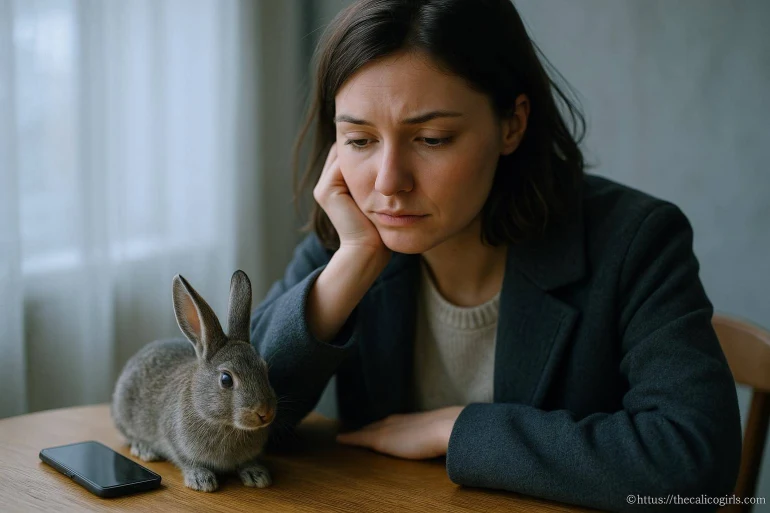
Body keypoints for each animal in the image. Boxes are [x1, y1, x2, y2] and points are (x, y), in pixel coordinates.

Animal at [111, 269, 277, 492]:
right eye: (226, 379)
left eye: (264, 369)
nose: (265, 412)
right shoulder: (176, 441)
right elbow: (187, 461)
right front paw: (201, 480)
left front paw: (257, 475)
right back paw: (144, 449)